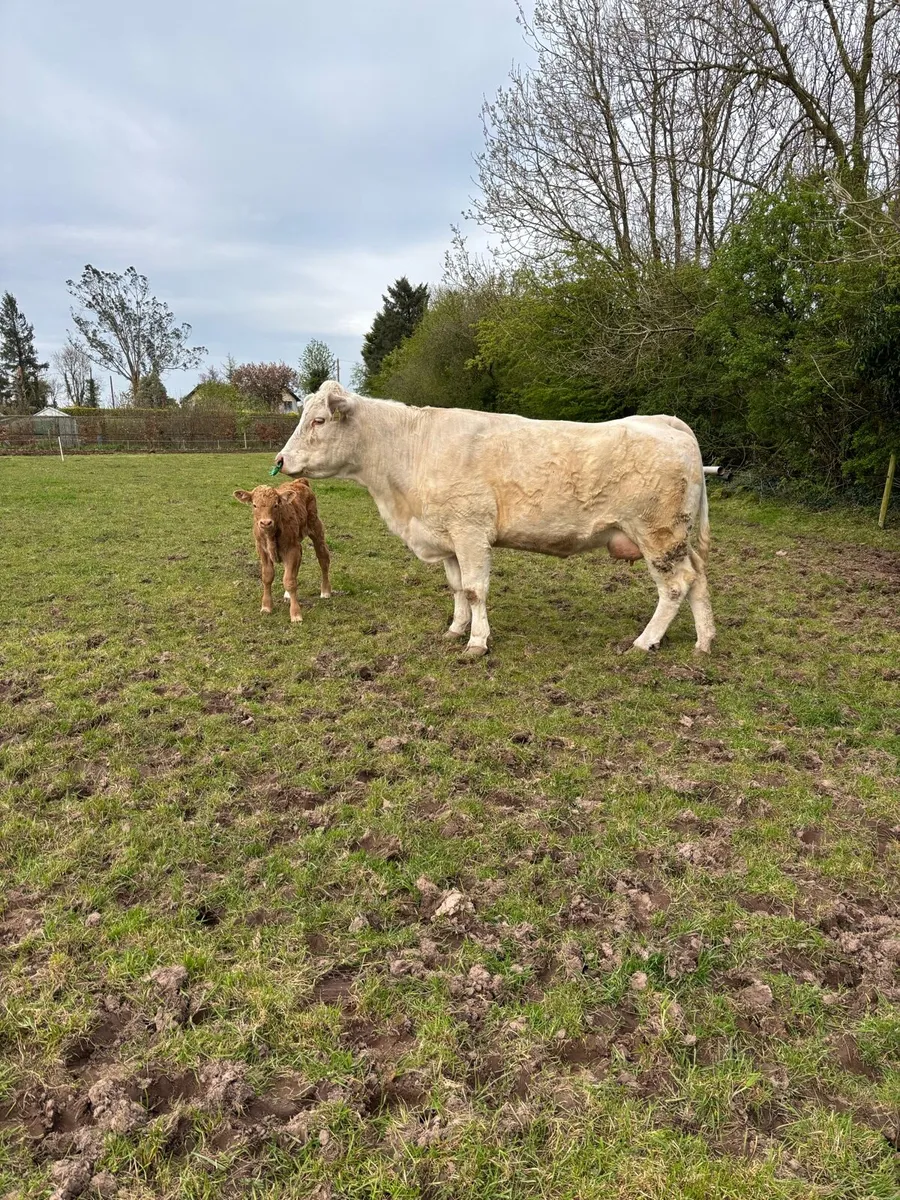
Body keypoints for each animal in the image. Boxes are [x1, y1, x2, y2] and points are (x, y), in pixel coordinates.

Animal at [233, 479, 331, 623]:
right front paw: (266, 607)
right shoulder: (262, 550)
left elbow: (289, 581)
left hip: (316, 528)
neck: (270, 535)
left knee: (323, 559)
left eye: (275, 505)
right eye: (254, 505)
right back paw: (288, 595)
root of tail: (300, 481)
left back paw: (325, 591)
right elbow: (268, 576)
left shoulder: (291, 549)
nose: (265, 522)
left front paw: (296, 614)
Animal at [275, 381, 714, 657]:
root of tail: (664, 421)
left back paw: (644, 642)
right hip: (677, 538)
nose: (280, 460)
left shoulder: (470, 533)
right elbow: (456, 588)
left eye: (318, 420)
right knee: (697, 577)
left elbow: (475, 590)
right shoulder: (447, 538)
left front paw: (477, 642)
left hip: (657, 534)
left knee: (675, 586)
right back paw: (704, 641)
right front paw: (455, 630)